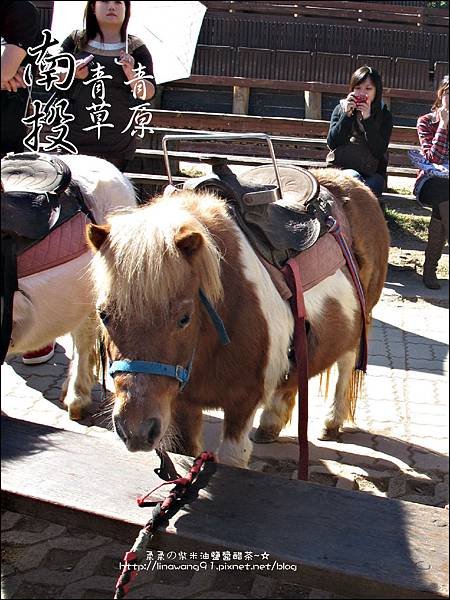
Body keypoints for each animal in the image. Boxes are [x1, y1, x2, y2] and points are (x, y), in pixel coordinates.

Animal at [88, 169, 390, 468]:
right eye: (103, 315)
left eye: (184, 318)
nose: (136, 430)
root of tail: (350, 180)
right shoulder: (183, 405)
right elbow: (187, 451)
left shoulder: (242, 404)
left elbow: (233, 458)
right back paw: (270, 424)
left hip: (360, 322)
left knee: (346, 362)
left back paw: (331, 421)